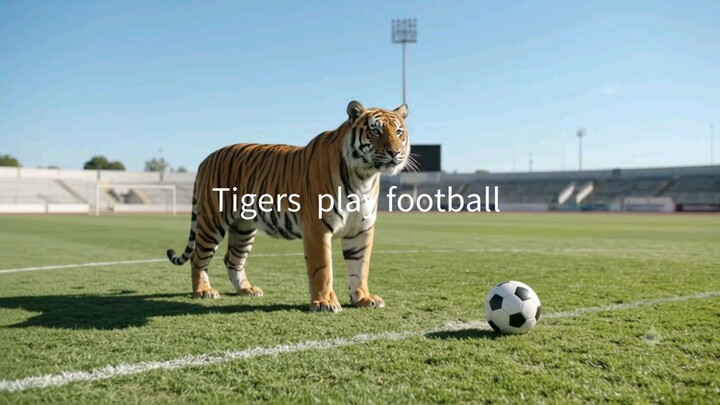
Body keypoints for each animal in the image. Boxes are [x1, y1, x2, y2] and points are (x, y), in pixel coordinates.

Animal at [166, 100, 410, 312]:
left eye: (399, 132)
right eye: (375, 131)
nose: (395, 152)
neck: (364, 176)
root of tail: (205, 160)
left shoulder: (361, 229)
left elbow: (360, 267)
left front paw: (363, 298)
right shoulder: (317, 228)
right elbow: (323, 268)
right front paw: (324, 302)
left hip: (243, 228)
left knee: (232, 259)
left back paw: (246, 289)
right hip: (212, 221)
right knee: (198, 257)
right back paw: (203, 291)